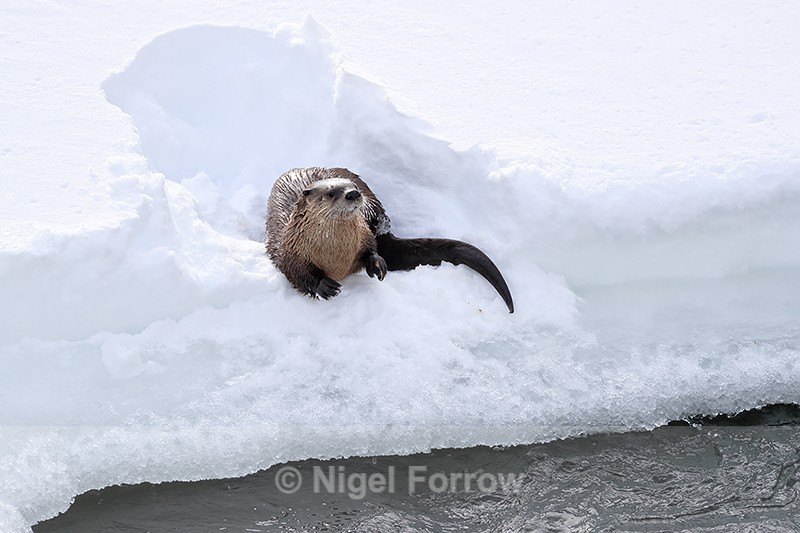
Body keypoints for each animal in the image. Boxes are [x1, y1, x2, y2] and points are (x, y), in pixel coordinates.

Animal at [266, 167, 514, 312]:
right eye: (330, 192)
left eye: (351, 186)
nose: (353, 193)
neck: (337, 257)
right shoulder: (290, 250)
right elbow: (296, 272)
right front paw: (324, 285)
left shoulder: (363, 236)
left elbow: (370, 248)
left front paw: (376, 264)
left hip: (371, 199)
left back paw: (382, 222)